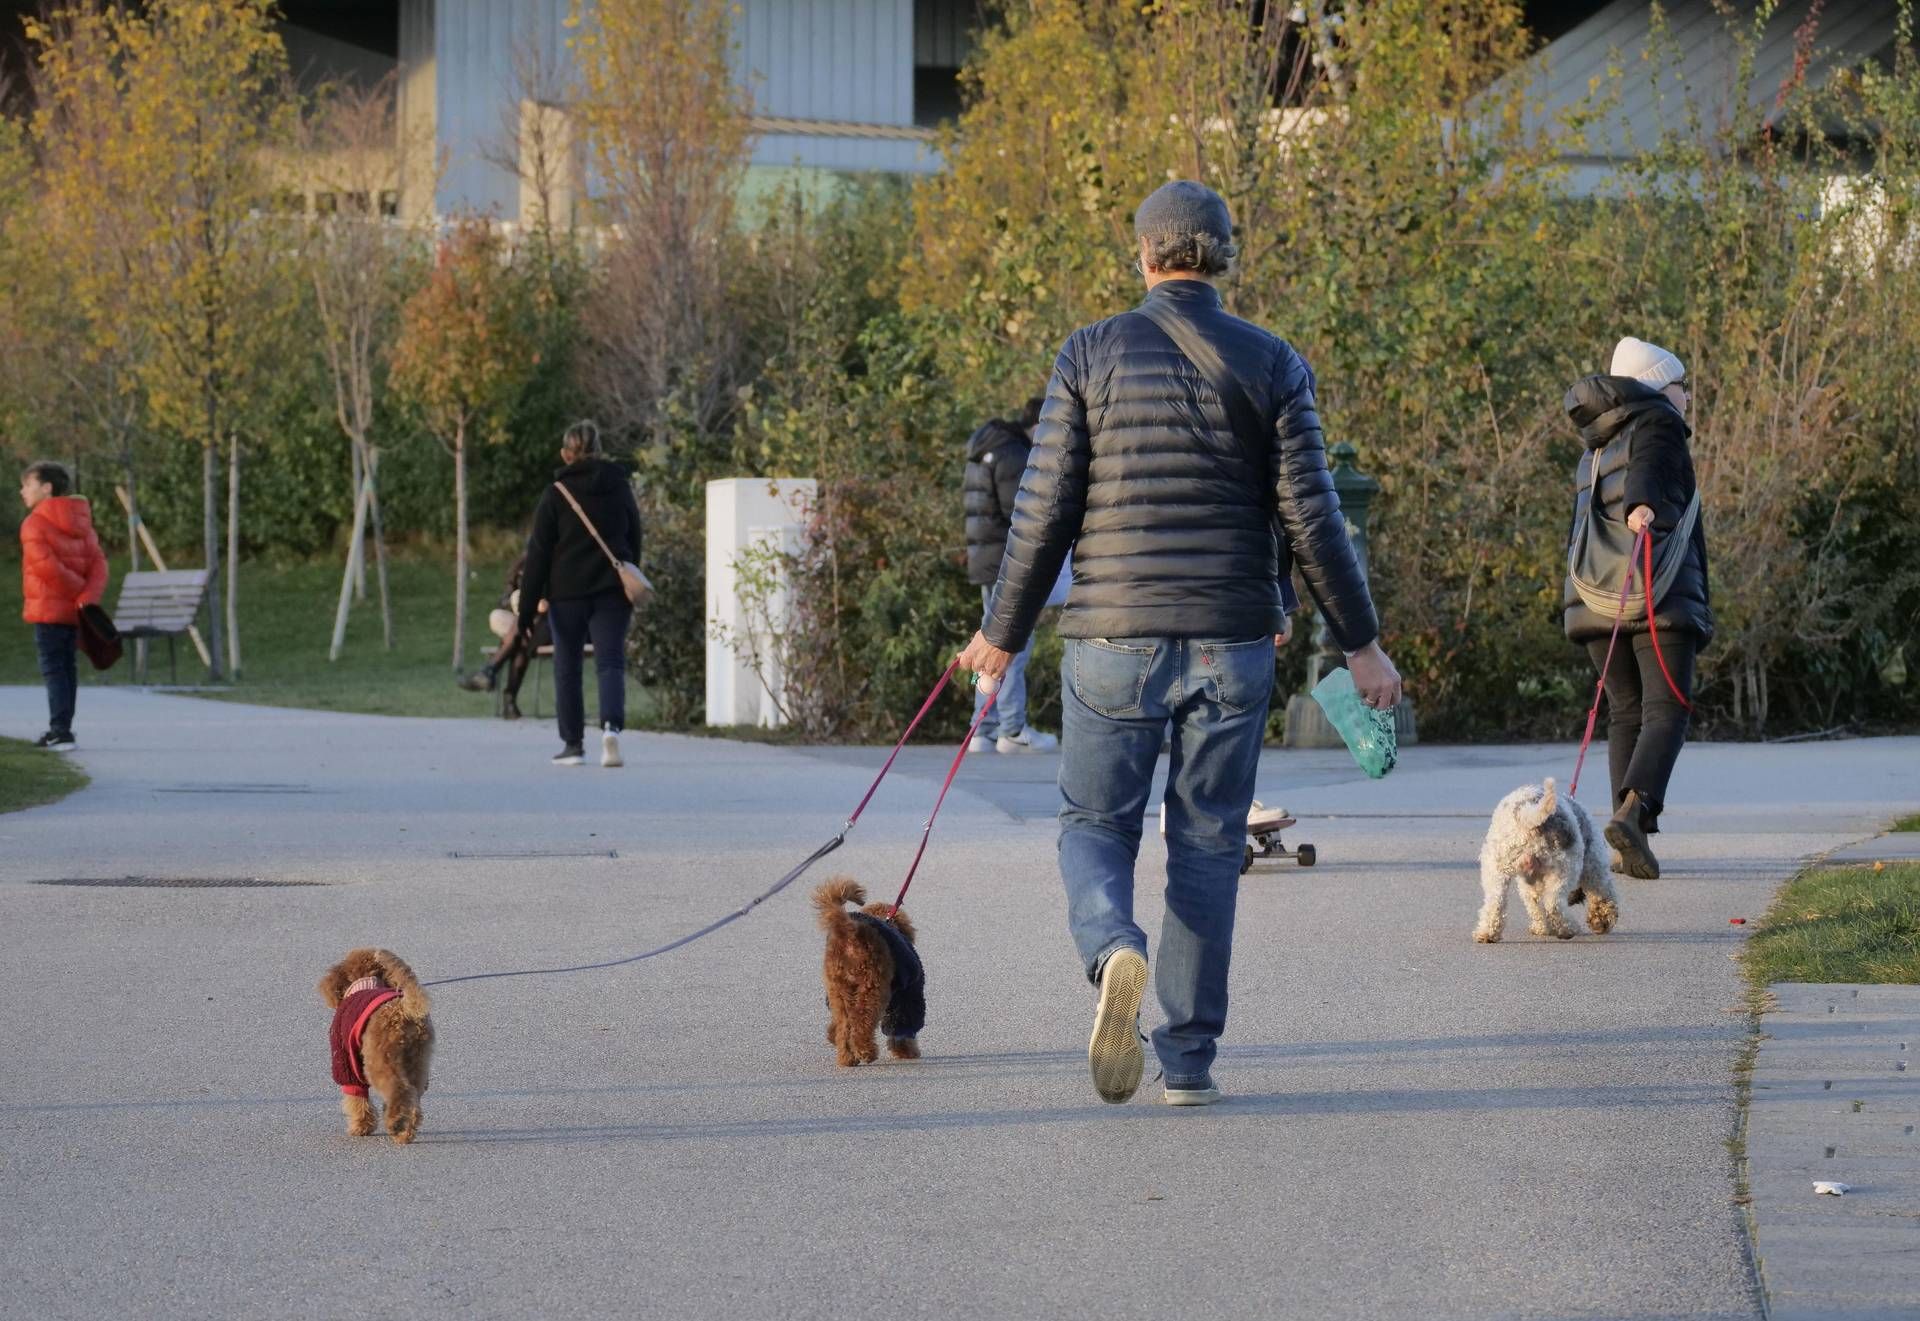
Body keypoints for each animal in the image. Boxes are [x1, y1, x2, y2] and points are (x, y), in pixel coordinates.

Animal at [1466, 779, 1620, 944]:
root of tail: (1526, 814)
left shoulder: (1528, 884)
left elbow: (1535, 906)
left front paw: (1542, 928)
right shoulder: (1595, 867)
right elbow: (1603, 895)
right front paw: (1601, 920)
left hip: (1495, 869)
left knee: (1495, 903)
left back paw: (1486, 934)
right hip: (1565, 868)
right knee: (1553, 903)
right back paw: (1568, 929)